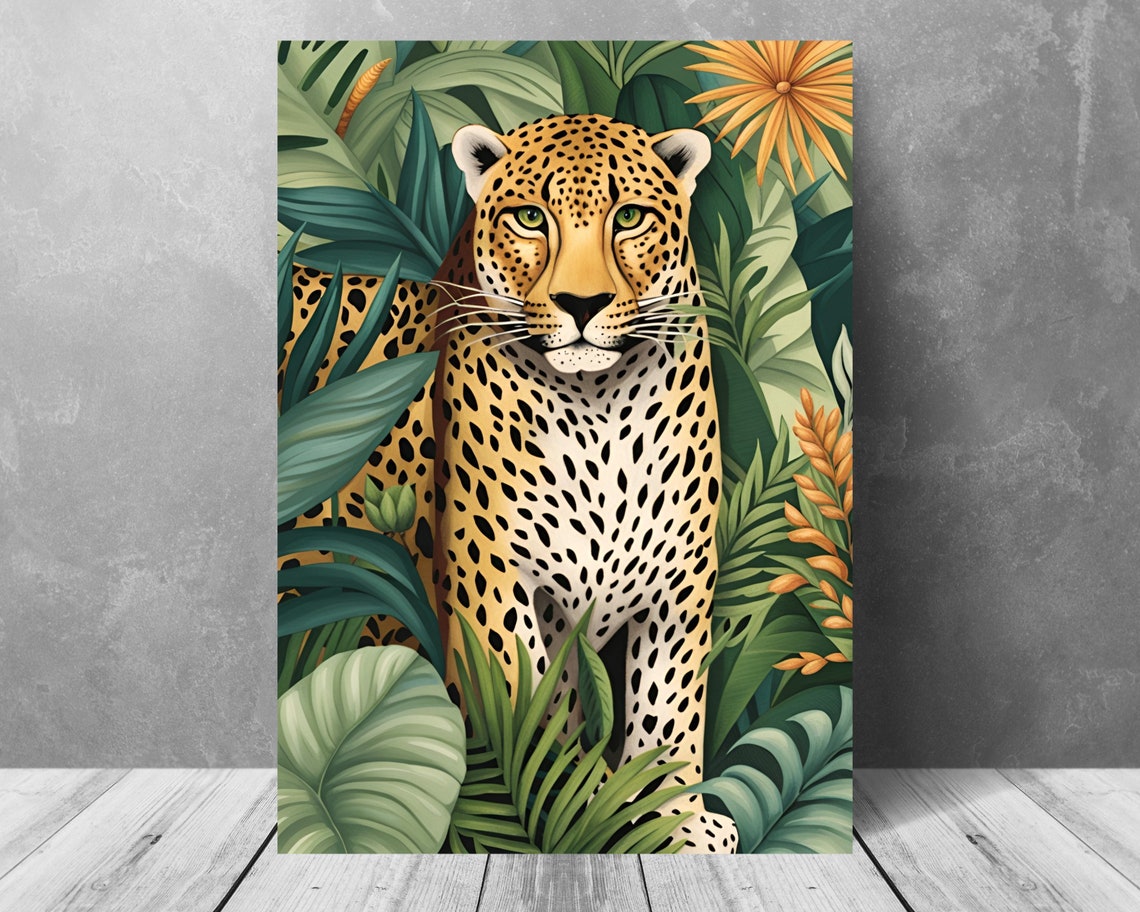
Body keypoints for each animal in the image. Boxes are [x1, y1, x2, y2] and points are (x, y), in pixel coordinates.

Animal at [280, 114, 737, 853]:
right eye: (529, 218)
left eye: (629, 217)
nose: (582, 302)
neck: (600, 411)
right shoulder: (492, 576)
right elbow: (524, 704)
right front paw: (564, 817)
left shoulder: (681, 578)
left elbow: (667, 710)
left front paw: (671, 821)